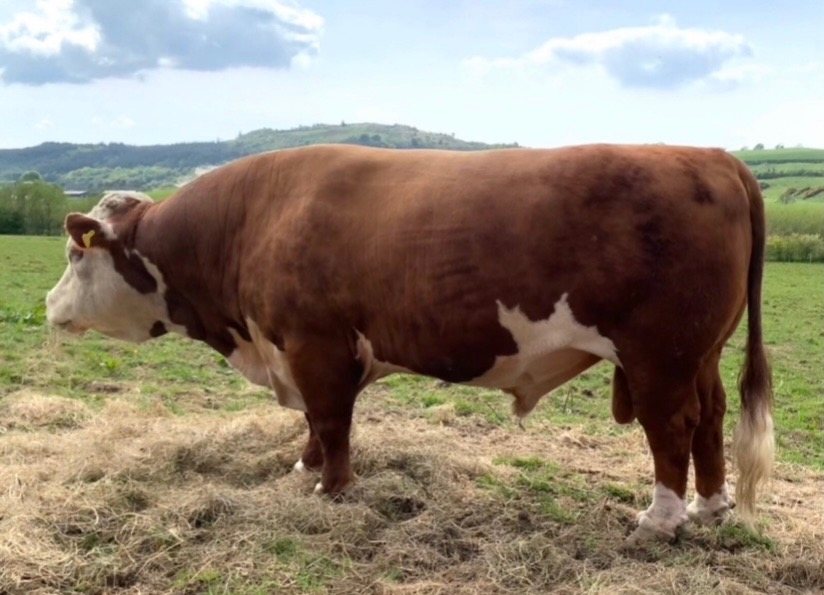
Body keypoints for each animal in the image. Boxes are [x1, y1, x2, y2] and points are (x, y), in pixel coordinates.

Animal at [45, 144, 773, 542]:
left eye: (75, 256)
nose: (50, 306)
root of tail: (710, 156)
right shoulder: (304, 349)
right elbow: (316, 423)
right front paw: (303, 470)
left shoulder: (314, 343)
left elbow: (330, 418)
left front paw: (331, 489)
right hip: (701, 353)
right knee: (710, 419)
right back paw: (712, 505)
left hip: (661, 354)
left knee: (670, 426)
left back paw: (662, 517)